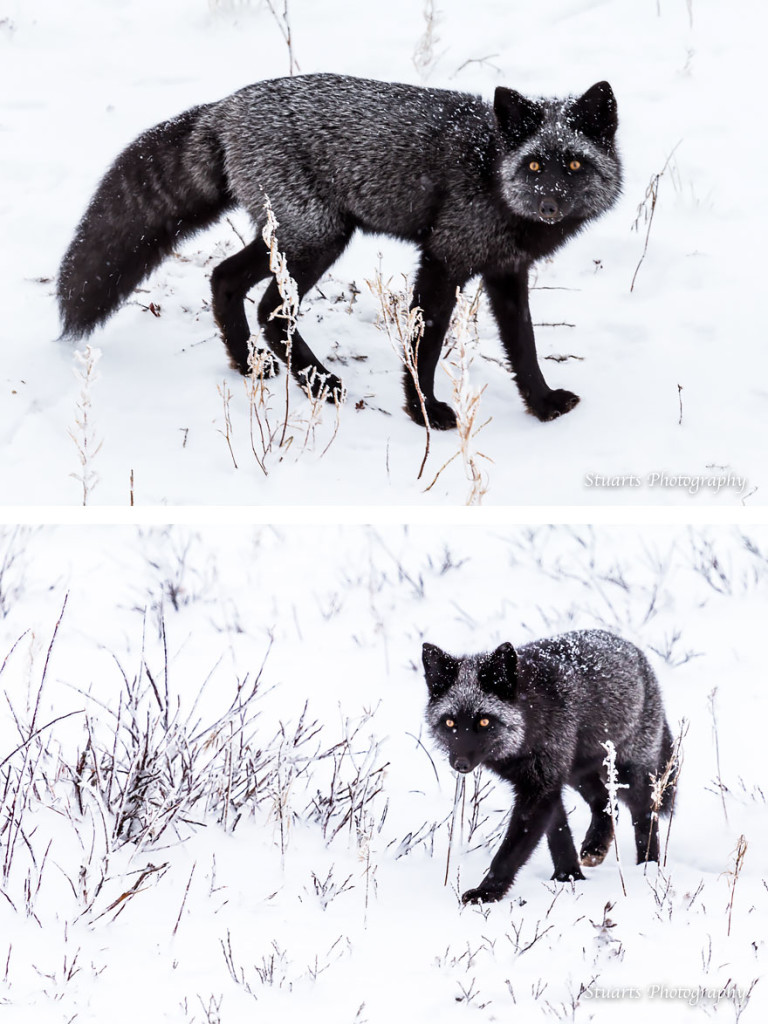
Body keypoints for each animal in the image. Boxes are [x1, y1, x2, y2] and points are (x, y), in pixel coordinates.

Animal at [60, 72, 626, 430]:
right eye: (534, 166)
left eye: (574, 165)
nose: (549, 204)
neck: (491, 168)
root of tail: (225, 107)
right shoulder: (444, 259)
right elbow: (425, 344)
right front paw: (425, 411)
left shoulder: (507, 272)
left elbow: (524, 347)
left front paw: (542, 404)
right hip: (319, 239)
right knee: (270, 309)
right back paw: (319, 384)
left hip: (291, 237)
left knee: (223, 279)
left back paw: (249, 366)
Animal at [423, 622, 675, 905]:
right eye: (450, 723)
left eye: (484, 722)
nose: (460, 764)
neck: (529, 720)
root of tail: (636, 652)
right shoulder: (546, 782)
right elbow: (559, 832)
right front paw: (568, 877)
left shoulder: (540, 787)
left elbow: (510, 852)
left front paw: (487, 892)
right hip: (577, 773)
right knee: (607, 803)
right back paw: (596, 846)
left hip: (627, 772)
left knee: (645, 811)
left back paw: (648, 867)